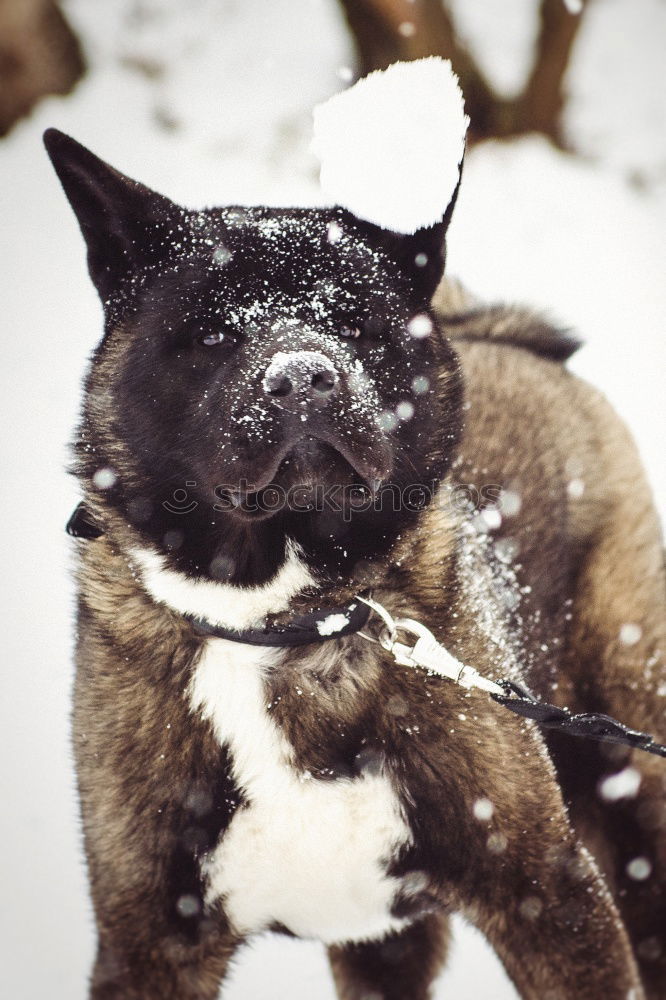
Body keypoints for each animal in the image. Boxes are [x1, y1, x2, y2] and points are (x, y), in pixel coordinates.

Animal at [44, 127, 660, 1000]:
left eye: (360, 325)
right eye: (213, 334)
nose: (304, 374)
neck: (278, 620)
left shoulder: (548, 892)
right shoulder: (148, 944)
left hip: (632, 783)